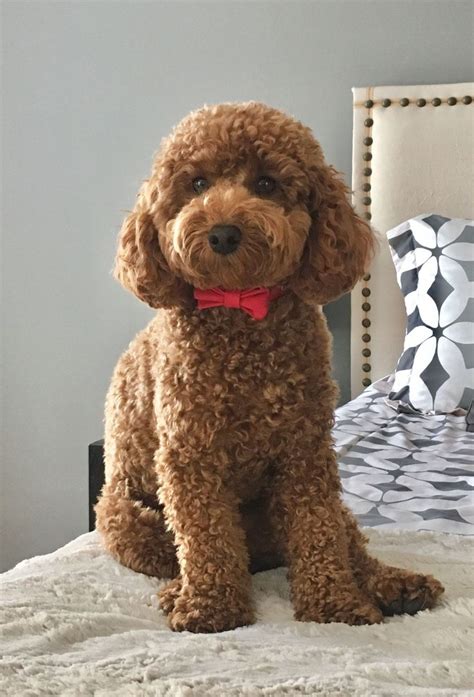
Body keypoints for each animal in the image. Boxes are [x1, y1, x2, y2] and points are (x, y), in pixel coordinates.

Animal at [96, 102, 444, 632]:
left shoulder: (305, 452)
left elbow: (319, 531)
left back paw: (396, 586)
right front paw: (212, 607)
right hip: (124, 517)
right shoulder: (191, 456)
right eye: (197, 183)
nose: (222, 232)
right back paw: (180, 591)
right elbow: (206, 538)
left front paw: (334, 605)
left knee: (349, 542)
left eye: (266, 183)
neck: (242, 311)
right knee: (179, 552)